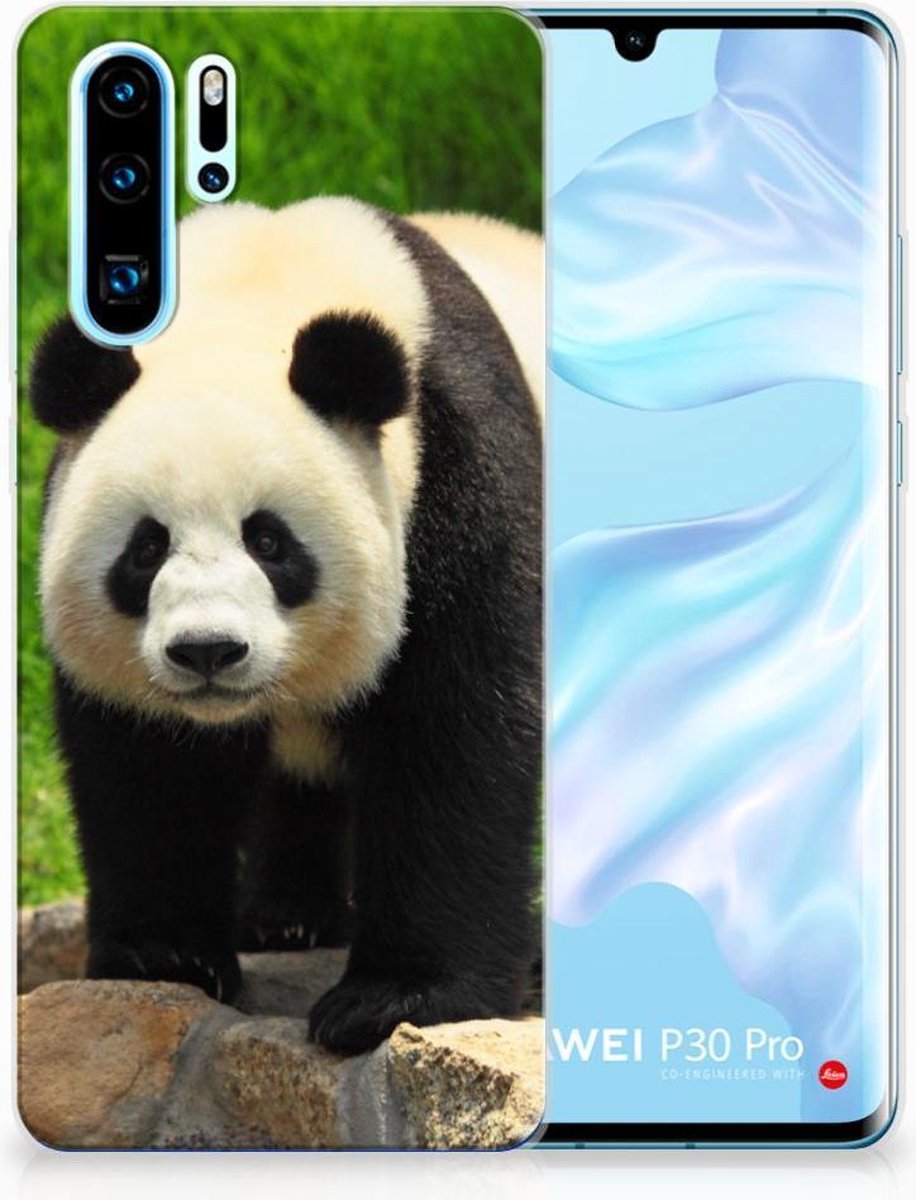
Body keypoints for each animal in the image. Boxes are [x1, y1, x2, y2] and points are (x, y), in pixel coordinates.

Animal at [30, 198, 542, 1054]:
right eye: (146, 548)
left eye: (269, 542)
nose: (207, 651)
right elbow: (149, 765)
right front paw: (165, 956)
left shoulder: (460, 476)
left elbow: (457, 733)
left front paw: (393, 999)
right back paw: (287, 918)